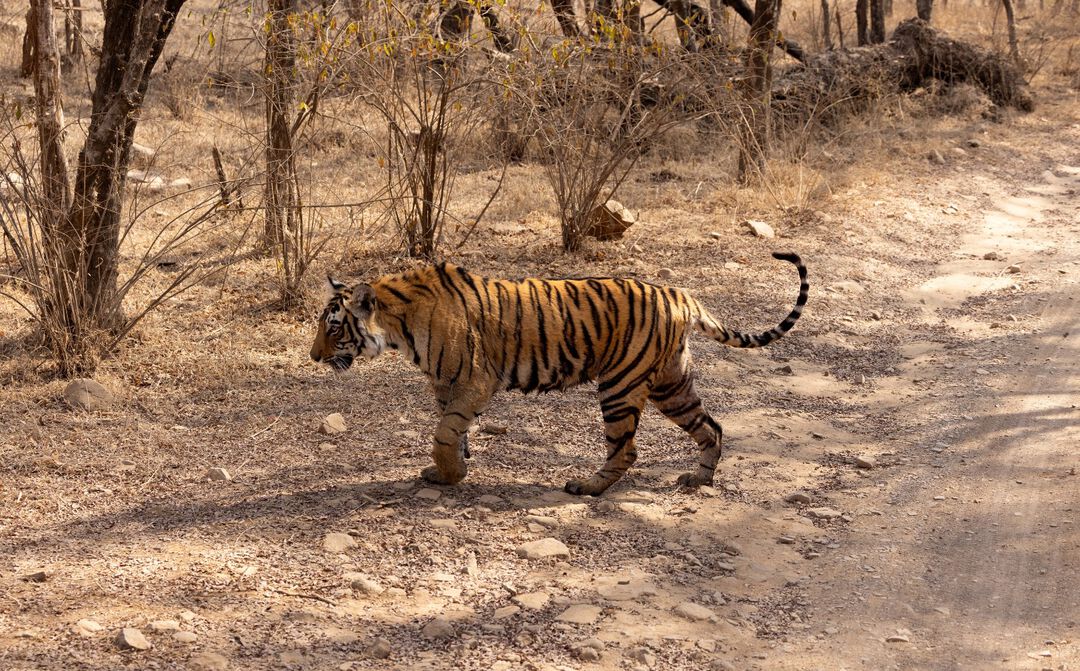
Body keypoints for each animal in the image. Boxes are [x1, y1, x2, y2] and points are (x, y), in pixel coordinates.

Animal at [310, 252, 808, 496]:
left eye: (333, 327)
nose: (314, 357)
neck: (398, 326)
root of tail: (679, 293)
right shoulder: (447, 385)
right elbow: (454, 430)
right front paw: (456, 469)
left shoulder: (474, 380)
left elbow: (444, 433)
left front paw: (449, 473)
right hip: (672, 385)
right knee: (712, 427)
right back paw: (699, 479)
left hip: (620, 386)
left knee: (626, 450)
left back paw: (587, 487)